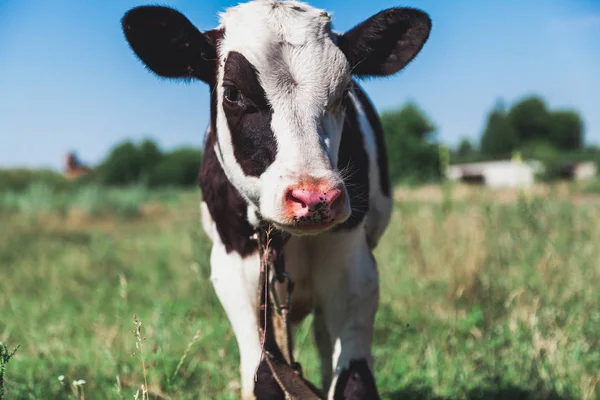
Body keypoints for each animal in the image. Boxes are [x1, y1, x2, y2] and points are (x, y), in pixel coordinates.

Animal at [122, 1, 432, 398]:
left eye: (345, 90)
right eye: (233, 92)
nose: (315, 196)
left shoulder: (353, 263)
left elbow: (354, 378)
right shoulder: (234, 267)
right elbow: (264, 375)